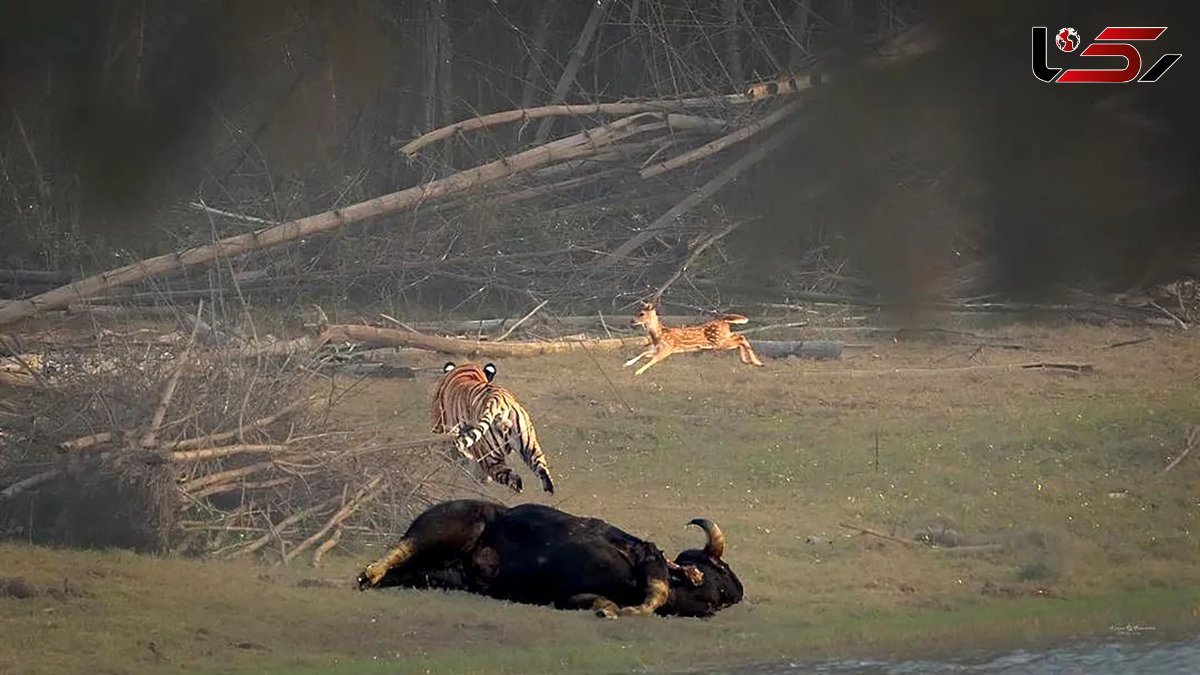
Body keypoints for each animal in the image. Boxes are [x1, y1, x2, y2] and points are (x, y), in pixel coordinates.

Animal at [357, 497, 739, 619]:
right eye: (716, 570)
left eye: (722, 594)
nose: (735, 592)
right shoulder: (643, 552)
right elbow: (654, 585)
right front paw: (633, 609)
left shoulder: (569, 597)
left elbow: (600, 601)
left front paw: (609, 611)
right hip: (455, 520)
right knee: (404, 545)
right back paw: (370, 572)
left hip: (440, 576)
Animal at [432, 357, 556, 494]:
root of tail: (498, 398)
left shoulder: (439, 427)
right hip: (529, 446)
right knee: (541, 470)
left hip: (489, 457)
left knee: (509, 476)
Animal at [624, 299, 763, 372]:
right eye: (636, 311)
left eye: (641, 313)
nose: (631, 321)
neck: (658, 335)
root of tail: (723, 320)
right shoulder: (656, 349)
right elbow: (643, 353)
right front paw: (628, 364)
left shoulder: (667, 349)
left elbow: (652, 360)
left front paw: (638, 372)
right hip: (723, 338)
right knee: (739, 337)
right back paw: (749, 360)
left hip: (719, 342)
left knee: (740, 338)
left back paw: (755, 362)